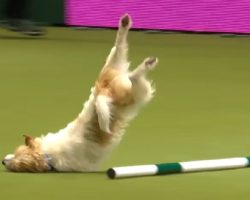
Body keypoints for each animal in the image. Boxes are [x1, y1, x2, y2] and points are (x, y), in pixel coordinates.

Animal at [1, 14, 158, 173]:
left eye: (16, 163)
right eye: (15, 153)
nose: (3, 161)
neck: (48, 155)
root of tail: (103, 86)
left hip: (124, 90)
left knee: (128, 79)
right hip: (123, 74)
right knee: (121, 48)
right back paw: (133, 36)